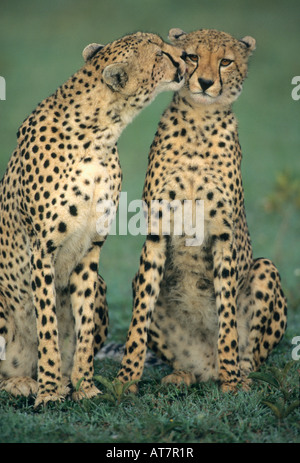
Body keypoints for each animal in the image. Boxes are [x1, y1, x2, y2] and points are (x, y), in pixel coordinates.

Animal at [0, 31, 186, 406]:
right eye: (160, 54)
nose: (185, 58)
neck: (98, 135)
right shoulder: (42, 251)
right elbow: (47, 327)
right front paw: (49, 393)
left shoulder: (90, 251)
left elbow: (82, 326)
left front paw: (83, 385)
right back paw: (23, 383)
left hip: (100, 283)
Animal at [116, 28, 288, 392]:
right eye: (192, 57)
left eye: (225, 62)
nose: (206, 82)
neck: (199, 122)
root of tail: (206, 365)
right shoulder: (156, 232)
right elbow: (139, 319)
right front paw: (125, 380)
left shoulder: (223, 234)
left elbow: (227, 315)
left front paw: (231, 382)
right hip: (141, 284)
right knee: (185, 360)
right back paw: (183, 373)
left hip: (265, 268)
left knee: (250, 356)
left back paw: (237, 375)